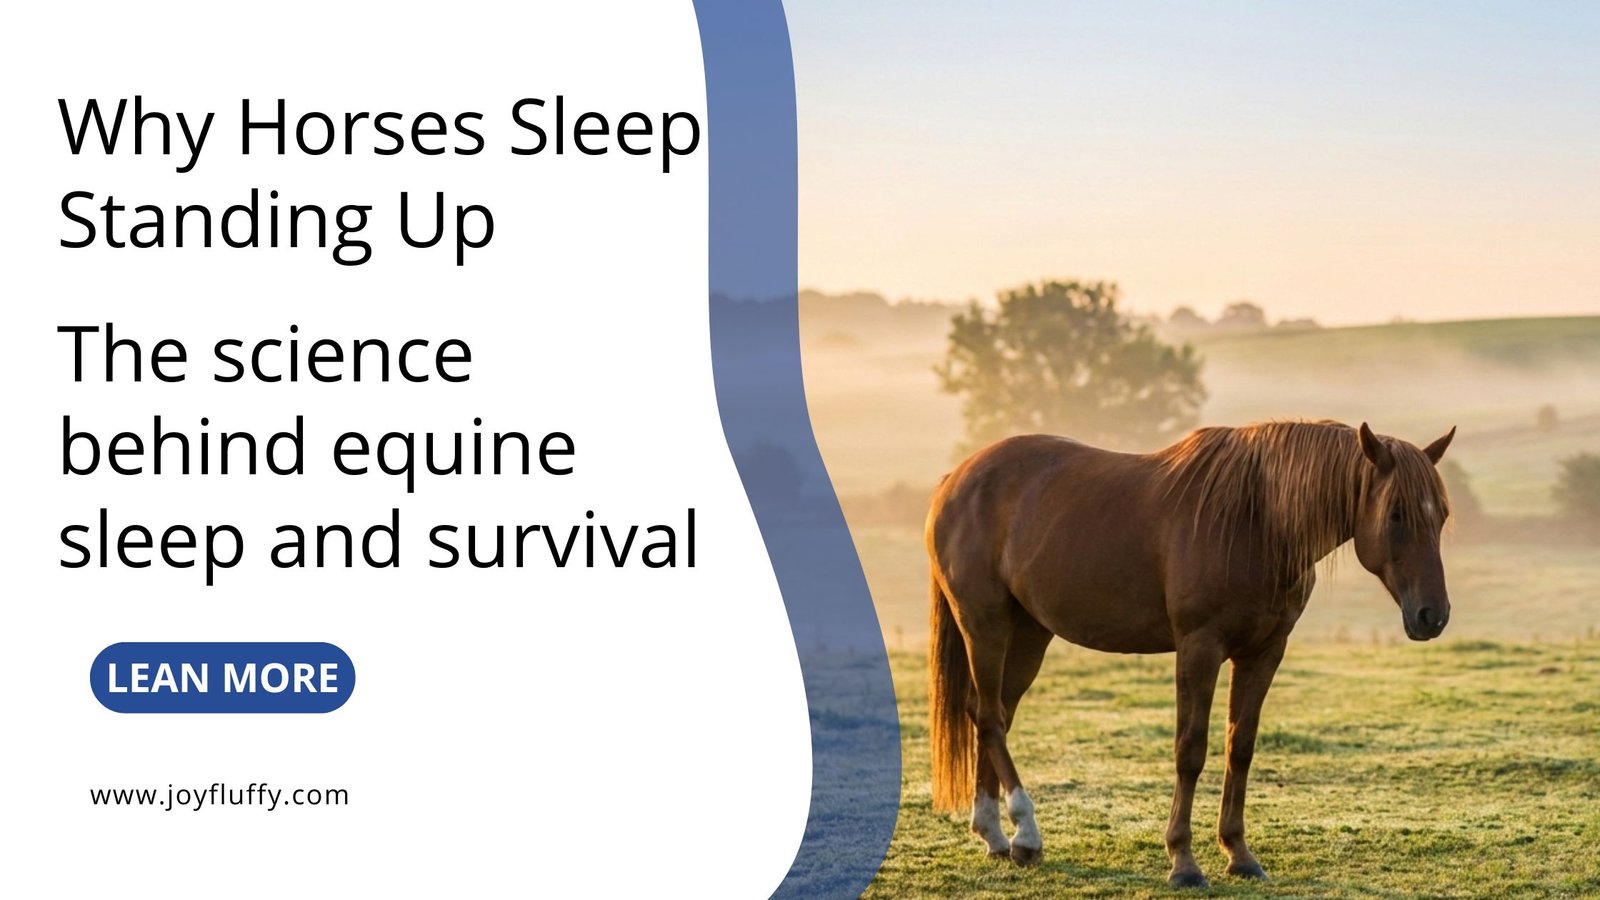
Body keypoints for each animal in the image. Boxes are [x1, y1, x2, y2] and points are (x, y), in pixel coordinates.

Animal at [926, 419, 1455, 887]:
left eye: (1442, 516)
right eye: (1396, 514)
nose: (1432, 615)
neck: (1256, 520)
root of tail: (955, 480)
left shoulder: (1263, 652)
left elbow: (1240, 748)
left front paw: (1240, 854)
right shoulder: (1199, 648)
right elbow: (1190, 749)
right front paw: (1183, 861)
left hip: (1030, 633)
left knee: (989, 712)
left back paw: (996, 836)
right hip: (985, 623)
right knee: (990, 717)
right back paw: (1027, 833)